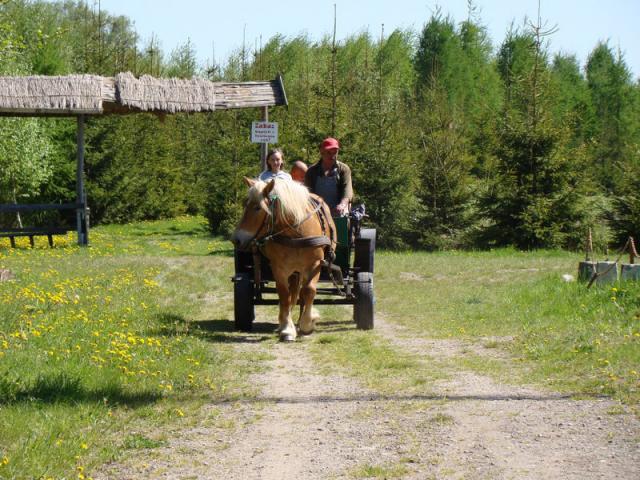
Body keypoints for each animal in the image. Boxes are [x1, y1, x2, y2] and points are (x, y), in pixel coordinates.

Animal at [232, 177, 338, 342]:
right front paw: (287, 328)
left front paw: (307, 323)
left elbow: (309, 291)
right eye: (245, 205)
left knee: (299, 293)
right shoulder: (279, 267)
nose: (236, 240)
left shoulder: (315, 265)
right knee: (291, 295)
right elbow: (284, 295)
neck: (296, 234)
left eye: (258, 208)